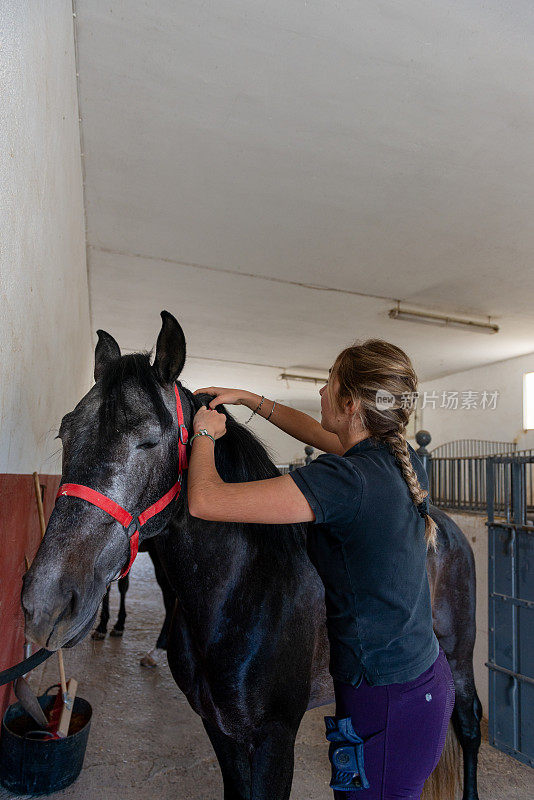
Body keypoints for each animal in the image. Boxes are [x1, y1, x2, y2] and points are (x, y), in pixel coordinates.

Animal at [21, 312, 484, 800]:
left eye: (148, 440)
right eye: (65, 432)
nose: (46, 604)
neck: (243, 590)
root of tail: (441, 522)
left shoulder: (274, 738)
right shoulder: (218, 728)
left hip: (458, 652)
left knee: (468, 722)